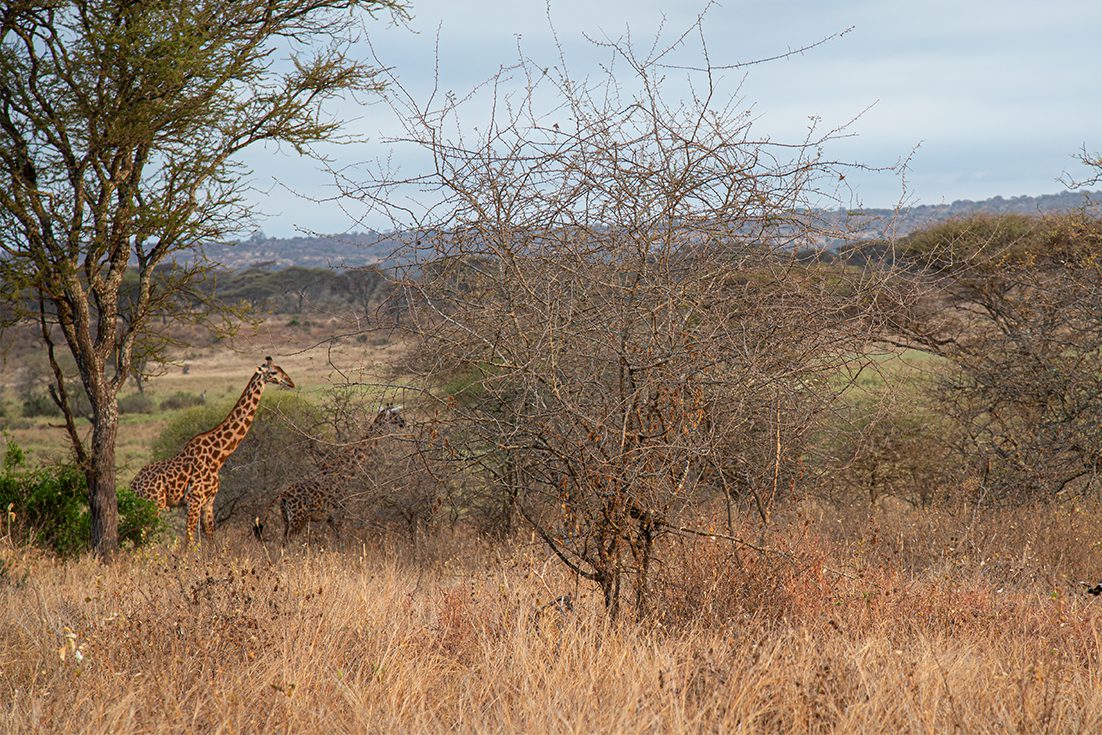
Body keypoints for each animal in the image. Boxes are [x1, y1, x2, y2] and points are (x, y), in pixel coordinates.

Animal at [132, 357, 297, 546]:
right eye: (274, 372)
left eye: (280, 368)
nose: (290, 382)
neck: (218, 456)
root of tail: (133, 485)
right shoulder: (194, 499)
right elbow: (189, 540)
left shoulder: (208, 502)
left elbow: (211, 539)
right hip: (154, 503)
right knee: (142, 537)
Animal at [252, 405, 405, 544]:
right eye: (395, 415)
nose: (403, 422)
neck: (348, 470)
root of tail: (282, 495)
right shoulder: (339, 512)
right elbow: (340, 542)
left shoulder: (330, 518)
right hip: (298, 519)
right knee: (289, 541)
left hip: (286, 518)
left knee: (283, 542)